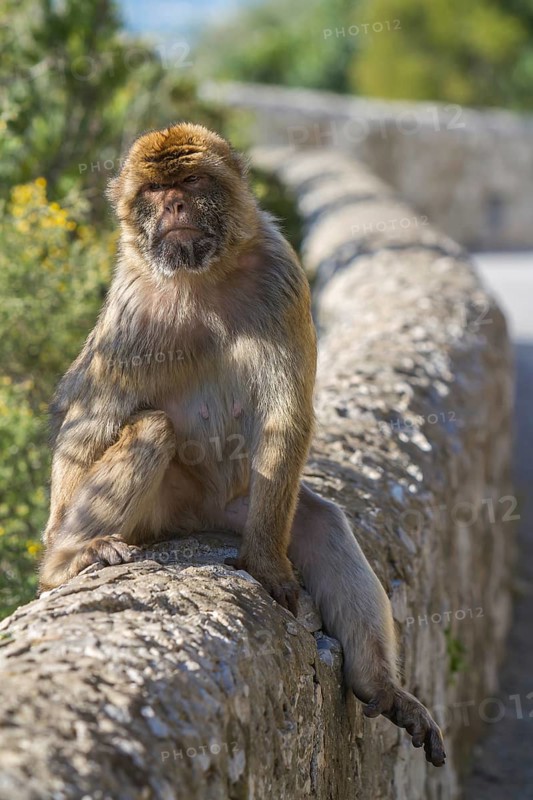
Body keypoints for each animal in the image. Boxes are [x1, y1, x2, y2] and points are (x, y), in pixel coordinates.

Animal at [39, 122, 446, 767]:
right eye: (154, 192)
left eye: (191, 183)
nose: (175, 208)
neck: (202, 277)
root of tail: (194, 517)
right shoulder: (131, 304)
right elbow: (92, 413)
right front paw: (57, 555)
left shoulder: (282, 274)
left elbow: (286, 416)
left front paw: (265, 566)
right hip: (159, 510)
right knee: (151, 428)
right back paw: (69, 555)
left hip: (240, 505)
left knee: (321, 522)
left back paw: (379, 686)